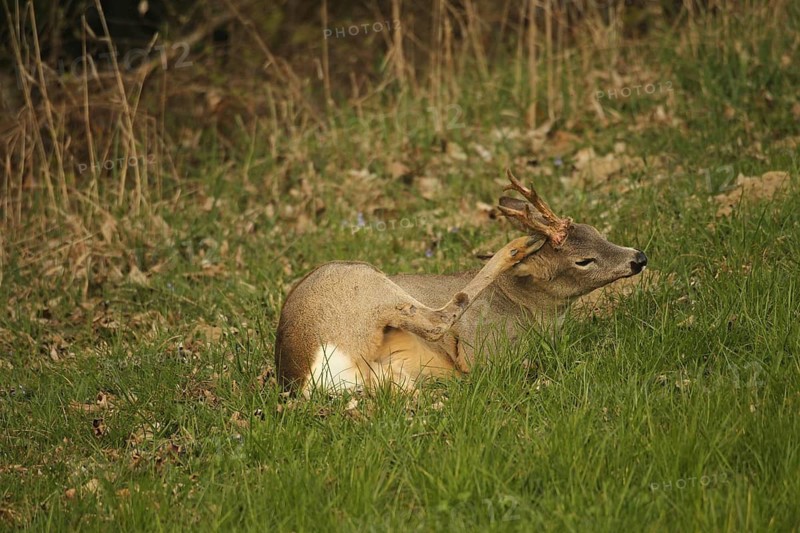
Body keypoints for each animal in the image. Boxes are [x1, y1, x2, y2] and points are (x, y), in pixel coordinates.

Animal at [275, 169, 648, 396]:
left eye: (597, 232)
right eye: (583, 260)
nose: (639, 257)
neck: (531, 312)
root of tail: (301, 372)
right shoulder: (483, 349)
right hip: (362, 282)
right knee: (440, 319)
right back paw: (516, 246)